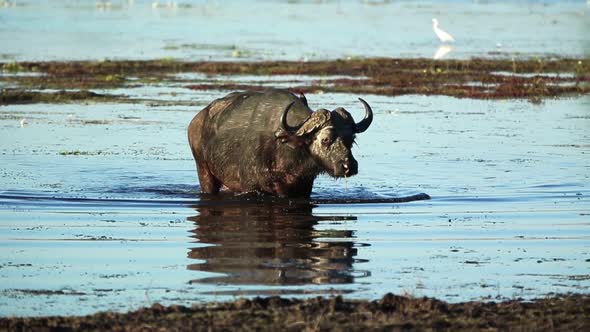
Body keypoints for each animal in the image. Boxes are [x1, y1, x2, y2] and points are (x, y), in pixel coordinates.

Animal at [188, 88, 374, 197]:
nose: (349, 166)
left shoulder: (304, 188)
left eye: (351, 139)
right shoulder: (251, 187)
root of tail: (196, 120)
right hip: (204, 172)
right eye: (326, 139)